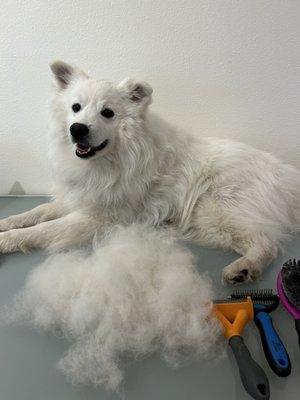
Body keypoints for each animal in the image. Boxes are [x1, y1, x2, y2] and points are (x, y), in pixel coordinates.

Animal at [0, 61, 300, 282]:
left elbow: (40, 231)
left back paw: (244, 269)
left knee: (267, 243)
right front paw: (7, 222)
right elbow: (35, 213)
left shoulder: (95, 219)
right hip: (208, 226)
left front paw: (5, 241)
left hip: (215, 213)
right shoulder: (78, 199)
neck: (109, 160)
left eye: (107, 113)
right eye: (76, 108)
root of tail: (285, 175)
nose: (78, 129)